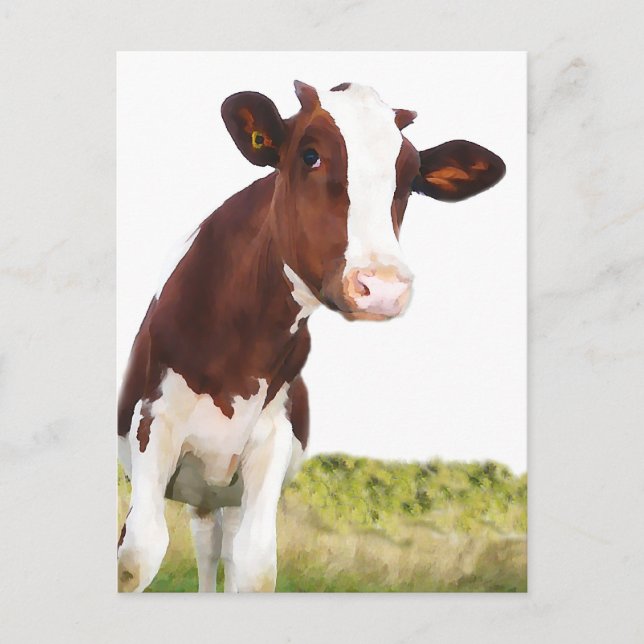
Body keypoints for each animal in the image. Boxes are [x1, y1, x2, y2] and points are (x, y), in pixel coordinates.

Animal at [117, 80, 506, 593]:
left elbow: (256, 565)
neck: (239, 345)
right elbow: (138, 553)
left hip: (225, 489)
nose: (383, 286)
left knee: (221, 545)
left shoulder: (272, 438)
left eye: (409, 178)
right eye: (310, 155)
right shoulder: (154, 421)